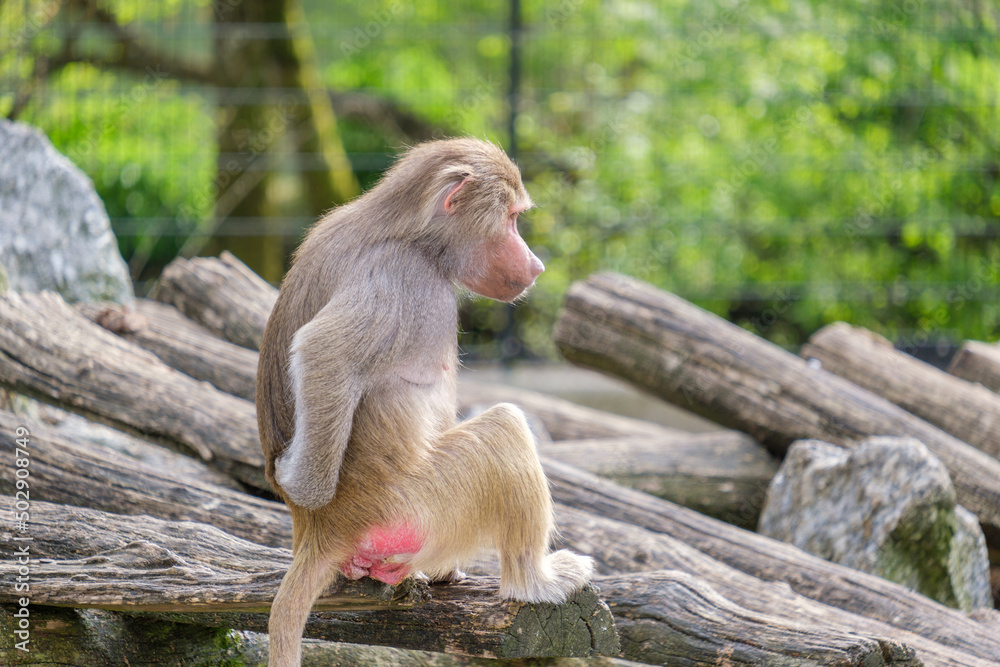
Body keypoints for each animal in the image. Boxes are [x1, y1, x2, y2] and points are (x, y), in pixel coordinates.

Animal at [256, 138, 594, 667]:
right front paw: (304, 485)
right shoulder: (401, 277)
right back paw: (535, 581)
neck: (415, 237)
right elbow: (322, 351)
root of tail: (318, 531)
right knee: (504, 429)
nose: (537, 266)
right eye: (512, 219)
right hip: (415, 505)